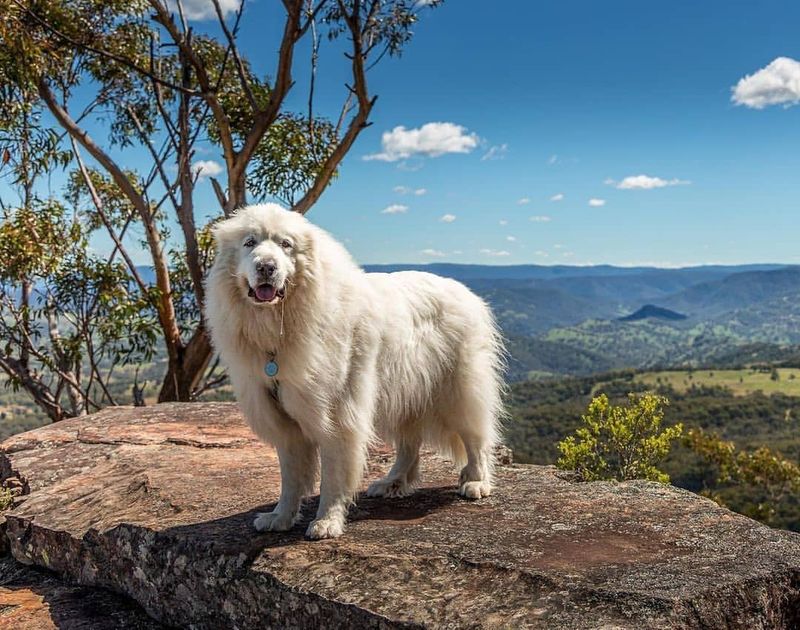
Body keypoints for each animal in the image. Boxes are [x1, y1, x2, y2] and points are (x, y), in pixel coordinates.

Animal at [206, 205, 506, 540]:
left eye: (286, 244)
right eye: (249, 243)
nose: (267, 267)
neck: (278, 328)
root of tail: (467, 293)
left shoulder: (336, 417)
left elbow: (333, 477)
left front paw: (327, 522)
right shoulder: (283, 421)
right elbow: (291, 478)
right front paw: (281, 517)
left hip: (458, 389)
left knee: (475, 436)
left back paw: (476, 481)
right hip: (403, 393)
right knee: (409, 445)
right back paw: (393, 483)